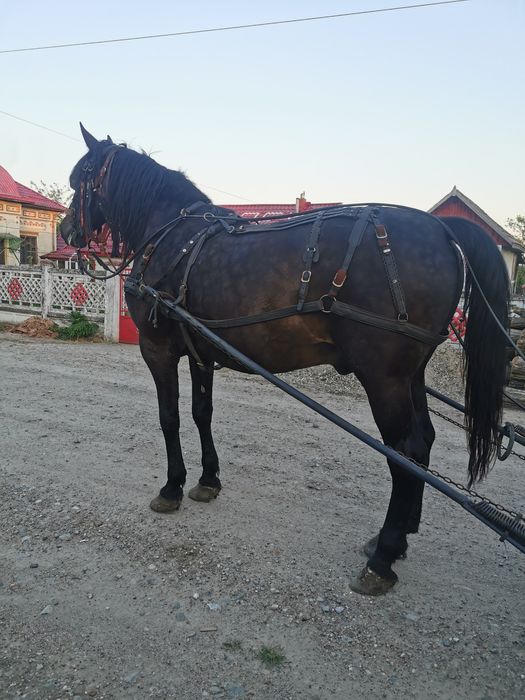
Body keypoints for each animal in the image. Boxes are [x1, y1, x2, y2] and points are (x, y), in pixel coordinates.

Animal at [60, 124, 510, 595]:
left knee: (405, 453)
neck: (173, 237)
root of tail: (440, 228)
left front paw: (172, 487)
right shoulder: (200, 352)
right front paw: (207, 479)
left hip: (384, 379)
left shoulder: (158, 349)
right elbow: (202, 413)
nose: (68, 229)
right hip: (412, 376)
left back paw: (384, 556)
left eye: (79, 180)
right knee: (423, 444)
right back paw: (399, 538)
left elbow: (170, 419)